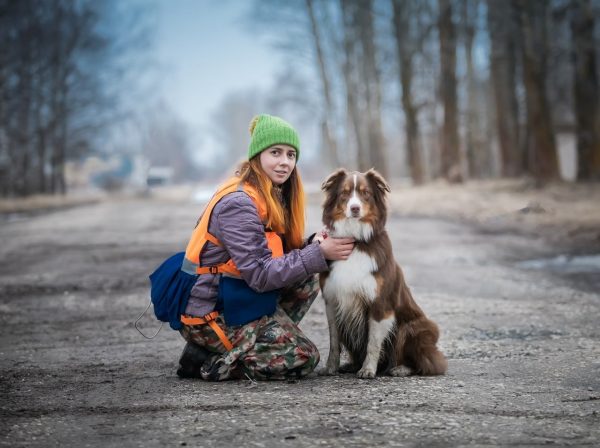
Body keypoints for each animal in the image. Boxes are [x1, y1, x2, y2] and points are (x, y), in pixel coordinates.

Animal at [318, 168, 446, 378]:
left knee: (425, 362)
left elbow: (373, 342)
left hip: (415, 327)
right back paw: (351, 365)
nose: (355, 208)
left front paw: (368, 369)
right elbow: (333, 342)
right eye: (345, 193)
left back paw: (400, 368)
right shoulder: (332, 299)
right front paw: (331, 367)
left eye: (366, 193)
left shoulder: (380, 303)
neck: (355, 241)